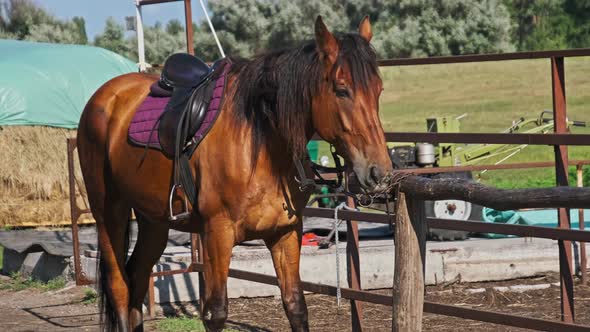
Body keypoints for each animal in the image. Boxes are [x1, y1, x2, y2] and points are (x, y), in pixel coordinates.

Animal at [77, 15, 394, 332]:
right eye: (342, 90)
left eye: (379, 90)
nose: (379, 172)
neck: (262, 144)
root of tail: (105, 96)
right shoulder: (218, 233)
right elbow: (215, 313)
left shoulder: (285, 232)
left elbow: (296, 305)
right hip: (110, 213)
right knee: (119, 285)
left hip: (153, 220)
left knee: (138, 277)